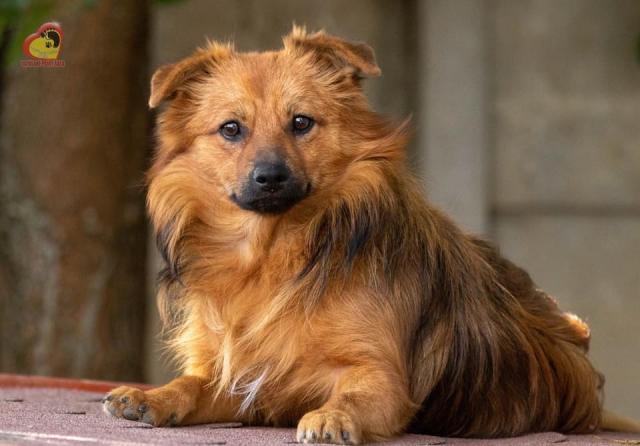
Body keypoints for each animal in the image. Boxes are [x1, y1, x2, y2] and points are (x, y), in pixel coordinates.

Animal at [103, 27, 640, 444]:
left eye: (301, 122)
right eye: (231, 129)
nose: (270, 176)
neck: (273, 253)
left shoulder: (383, 378)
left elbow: (354, 394)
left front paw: (333, 416)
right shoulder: (242, 378)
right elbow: (193, 384)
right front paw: (152, 396)